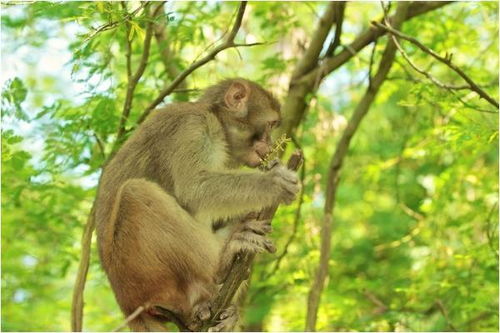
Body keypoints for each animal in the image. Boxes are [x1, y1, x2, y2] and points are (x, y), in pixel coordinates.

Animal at [95, 77, 298, 330]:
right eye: (270, 125)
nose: (270, 145)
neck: (217, 119)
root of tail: (128, 306)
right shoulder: (193, 126)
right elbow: (194, 188)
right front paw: (273, 183)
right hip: (141, 275)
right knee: (135, 193)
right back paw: (222, 262)